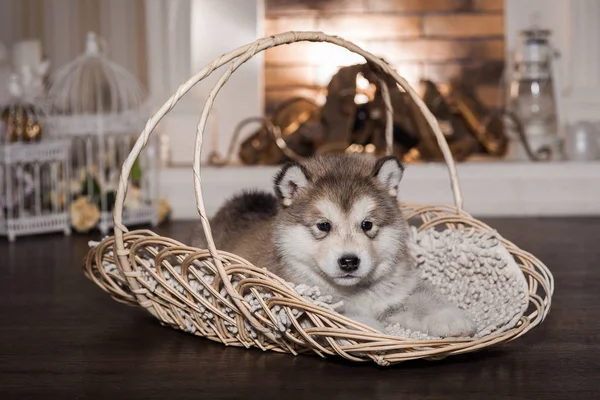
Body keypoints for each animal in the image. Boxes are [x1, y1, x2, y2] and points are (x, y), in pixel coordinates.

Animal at [195, 154, 476, 338]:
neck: (356, 292)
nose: (349, 261)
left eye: (367, 224)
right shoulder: (306, 303)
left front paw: (451, 319)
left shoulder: (401, 291)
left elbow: (426, 299)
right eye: (323, 226)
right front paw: (366, 328)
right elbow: (341, 313)